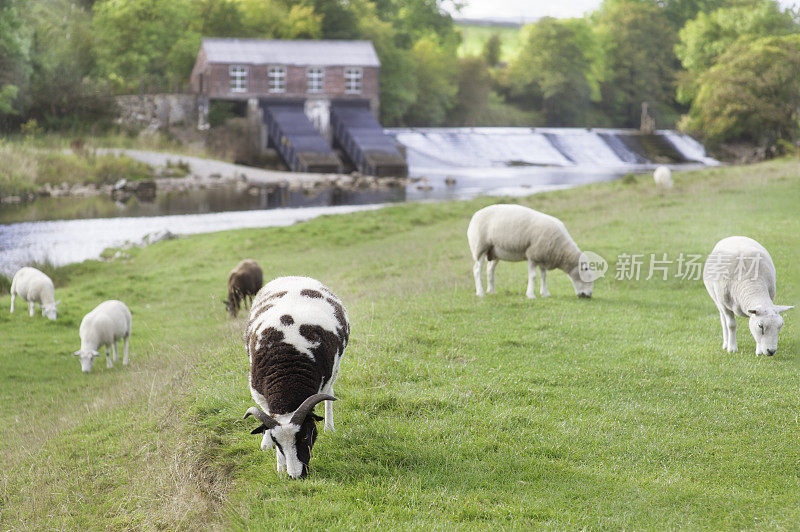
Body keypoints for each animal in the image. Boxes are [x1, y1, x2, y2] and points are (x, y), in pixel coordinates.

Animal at [241, 276, 346, 480]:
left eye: (306, 435)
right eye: (278, 442)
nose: (297, 476)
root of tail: (294, 277)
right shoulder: (259, 394)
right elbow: (267, 420)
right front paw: (279, 465)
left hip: (334, 369)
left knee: (330, 393)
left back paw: (330, 427)